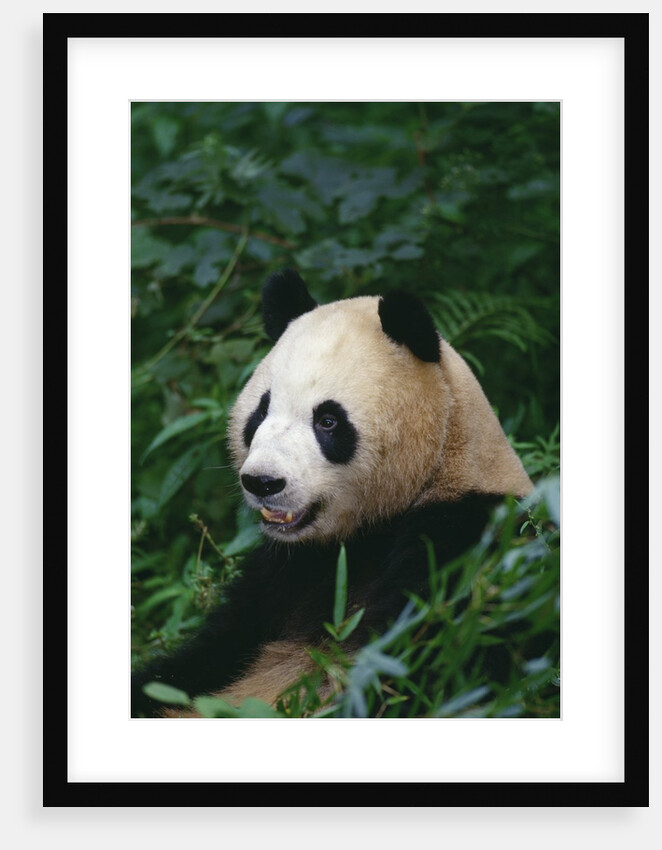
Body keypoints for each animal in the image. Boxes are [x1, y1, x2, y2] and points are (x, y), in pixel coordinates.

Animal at [131, 269, 533, 717]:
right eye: (261, 412)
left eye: (328, 420)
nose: (263, 482)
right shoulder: (285, 571)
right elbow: (203, 657)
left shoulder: (464, 542)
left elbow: (412, 667)